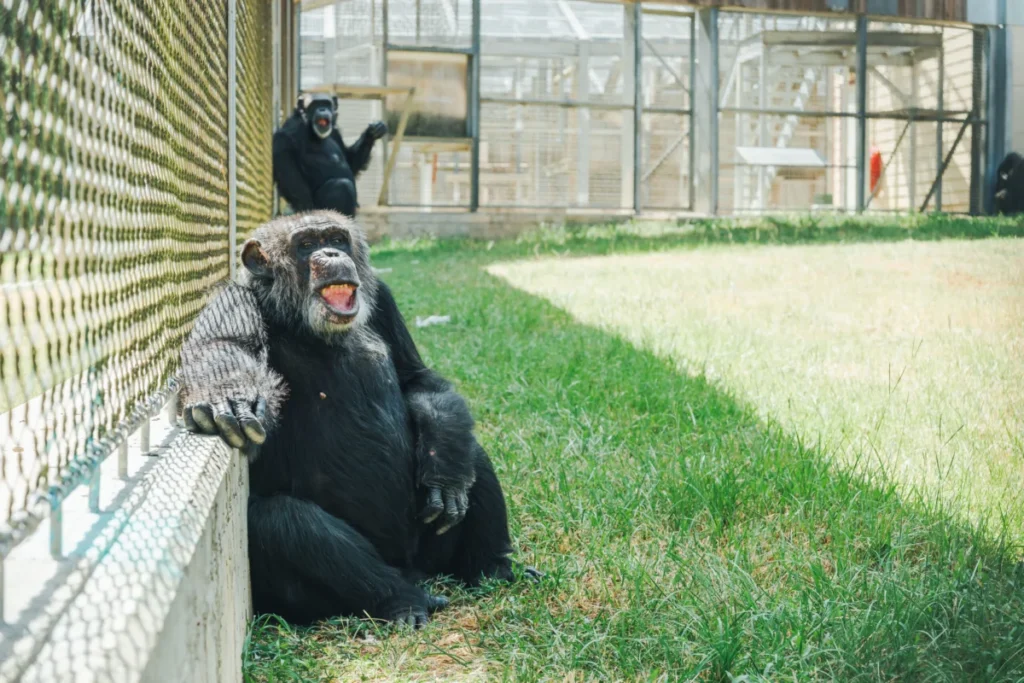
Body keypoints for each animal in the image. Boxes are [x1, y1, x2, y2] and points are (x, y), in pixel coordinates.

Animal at [176, 211, 537, 628]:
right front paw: (229, 398)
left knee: (471, 454)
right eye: (306, 245)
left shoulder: (384, 300)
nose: (331, 253)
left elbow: (416, 378)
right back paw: (404, 602)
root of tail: (413, 569)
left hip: (432, 551)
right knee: (285, 523)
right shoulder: (231, 301)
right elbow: (223, 353)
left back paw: (493, 568)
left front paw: (444, 467)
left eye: (336, 239)